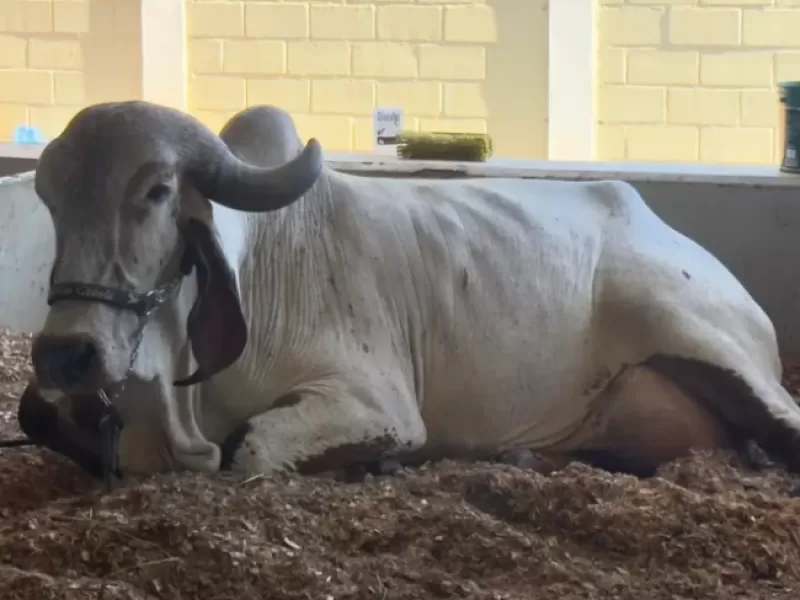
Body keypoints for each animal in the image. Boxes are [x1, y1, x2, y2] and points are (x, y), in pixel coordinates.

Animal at [16, 100, 800, 485]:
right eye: (48, 198)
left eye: (155, 191)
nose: (66, 354)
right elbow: (38, 419)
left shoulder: (375, 399)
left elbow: (249, 450)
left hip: (687, 325)